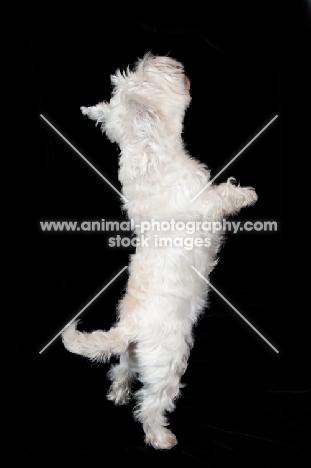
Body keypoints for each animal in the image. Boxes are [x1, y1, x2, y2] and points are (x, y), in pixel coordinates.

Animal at [61, 54, 258, 450]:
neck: (151, 155)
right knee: (150, 404)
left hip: (132, 354)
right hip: (169, 361)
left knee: (120, 370)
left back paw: (117, 394)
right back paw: (161, 437)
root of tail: (130, 328)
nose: (154, 58)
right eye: (144, 74)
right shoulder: (203, 207)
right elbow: (223, 195)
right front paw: (246, 194)